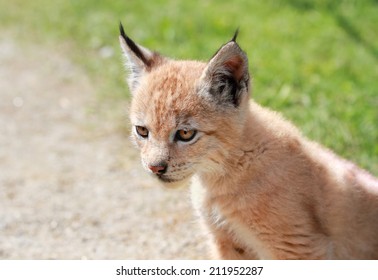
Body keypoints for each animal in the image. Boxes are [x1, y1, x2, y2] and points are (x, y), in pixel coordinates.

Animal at [119, 24, 378, 260]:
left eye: (185, 134)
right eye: (142, 131)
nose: (155, 168)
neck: (219, 174)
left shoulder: (298, 247)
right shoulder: (227, 242)